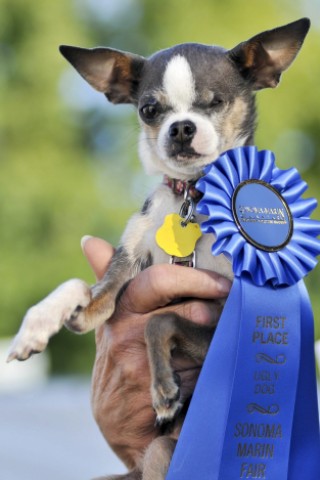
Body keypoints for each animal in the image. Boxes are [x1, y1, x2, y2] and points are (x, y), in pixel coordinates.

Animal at [8, 17, 310, 480]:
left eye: (215, 102)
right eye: (150, 110)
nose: (182, 127)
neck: (195, 197)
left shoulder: (224, 317)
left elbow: (160, 319)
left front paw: (164, 388)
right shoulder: (120, 279)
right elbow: (82, 289)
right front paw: (36, 325)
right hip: (154, 456)